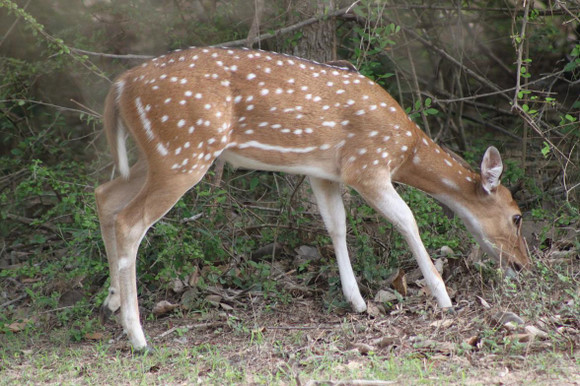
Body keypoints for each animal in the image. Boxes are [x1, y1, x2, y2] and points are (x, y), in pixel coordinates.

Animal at [94, 45, 532, 350]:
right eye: (516, 216)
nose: (524, 264)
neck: (406, 150)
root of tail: (120, 85)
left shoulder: (323, 173)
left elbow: (336, 225)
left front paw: (356, 301)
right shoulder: (367, 165)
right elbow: (407, 219)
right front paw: (443, 297)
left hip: (156, 156)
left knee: (105, 195)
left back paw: (111, 301)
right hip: (183, 149)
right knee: (129, 221)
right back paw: (138, 337)